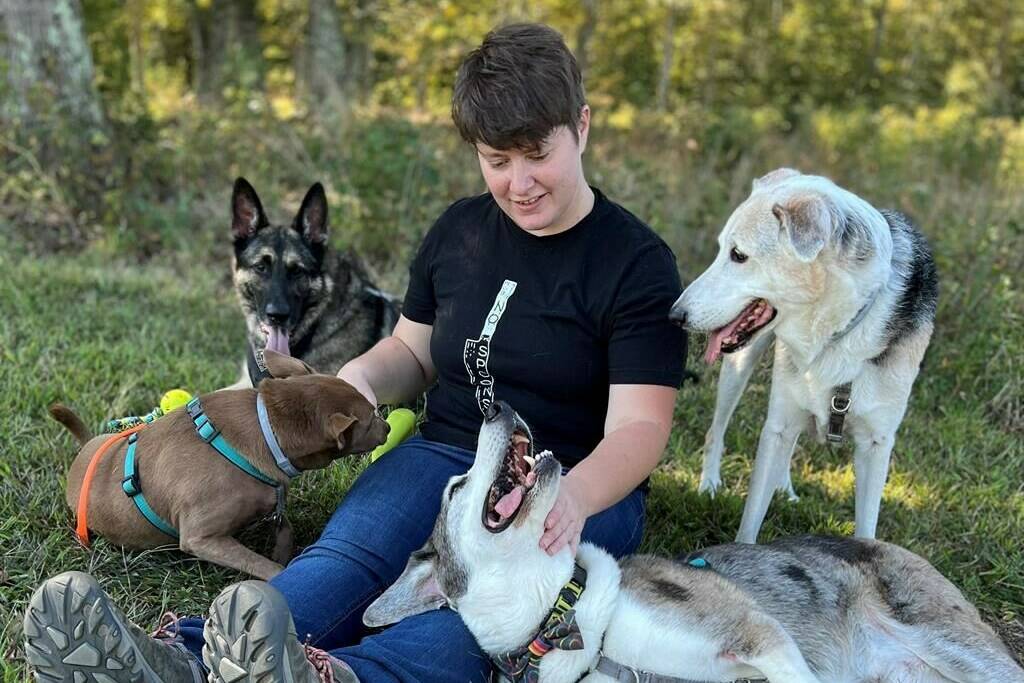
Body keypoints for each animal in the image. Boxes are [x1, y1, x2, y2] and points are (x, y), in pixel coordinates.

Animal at [50, 350, 387, 581]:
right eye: (372, 418)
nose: (387, 426)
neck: (265, 426)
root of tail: (86, 448)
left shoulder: (271, 504)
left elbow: (285, 529)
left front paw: (282, 551)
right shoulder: (201, 537)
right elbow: (261, 564)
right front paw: (280, 572)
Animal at [667, 169, 937, 544]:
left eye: (738, 255)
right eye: (721, 249)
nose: (674, 316)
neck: (837, 331)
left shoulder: (876, 444)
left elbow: (866, 529)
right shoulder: (777, 426)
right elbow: (749, 523)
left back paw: (783, 489)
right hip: (739, 367)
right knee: (716, 431)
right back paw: (709, 484)